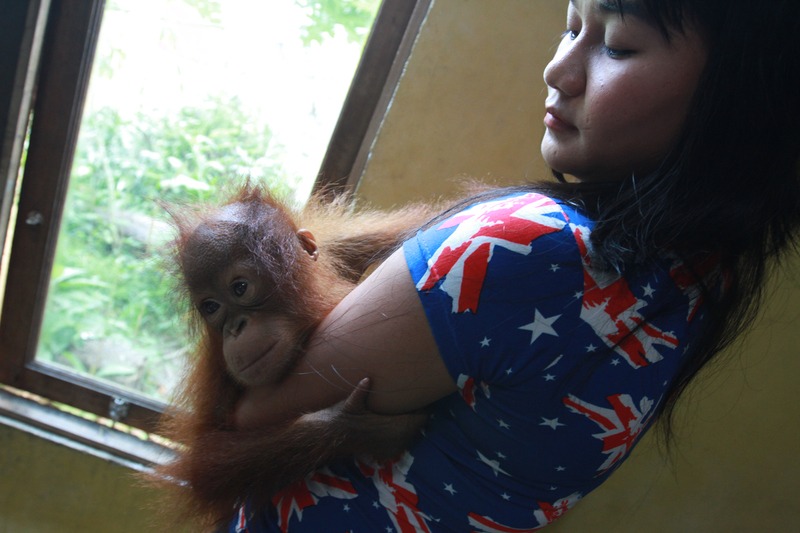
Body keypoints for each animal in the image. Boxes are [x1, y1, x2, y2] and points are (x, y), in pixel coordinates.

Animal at [152, 183, 440, 529]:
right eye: (211, 307)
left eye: (240, 288)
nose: (235, 328)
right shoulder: (216, 368)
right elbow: (205, 466)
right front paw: (349, 424)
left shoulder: (345, 244)